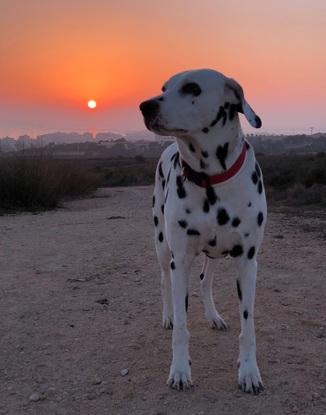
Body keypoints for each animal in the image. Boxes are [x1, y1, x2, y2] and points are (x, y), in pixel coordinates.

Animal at [139, 69, 266, 396]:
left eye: (193, 88)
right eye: (164, 88)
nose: (145, 106)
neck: (211, 180)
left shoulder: (248, 261)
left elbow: (248, 326)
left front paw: (249, 371)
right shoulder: (180, 259)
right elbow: (183, 328)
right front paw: (180, 370)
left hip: (216, 252)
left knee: (205, 281)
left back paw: (214, 316)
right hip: (162, 245)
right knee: (164, 281)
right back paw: (168, 316)